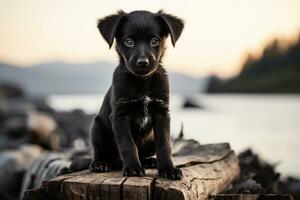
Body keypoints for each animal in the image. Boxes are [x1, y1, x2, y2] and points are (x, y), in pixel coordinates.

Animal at [89, 9, 183, 180]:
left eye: (154, 41)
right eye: (129, 42)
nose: (143, 62)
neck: (142, 82)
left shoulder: (162, 113)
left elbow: (165, 145)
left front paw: (168, 168)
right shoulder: (120, 115)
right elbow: (128, 144)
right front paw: (133, 167)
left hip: (150, 138)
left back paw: (149, 161)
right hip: (97, 127)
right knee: (100, 152)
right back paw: (100, 163)